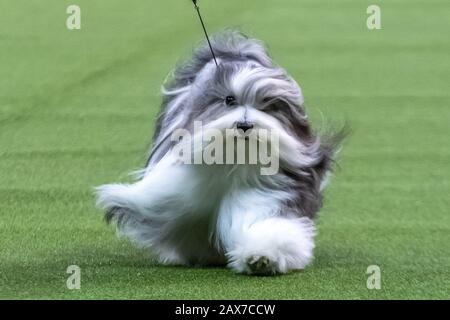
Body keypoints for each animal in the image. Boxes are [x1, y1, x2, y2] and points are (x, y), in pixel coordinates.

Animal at [94, 30, 342, 276]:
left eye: (267, 105)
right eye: (229, 100)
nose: (244, 125)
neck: (232, 161)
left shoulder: (268, 192)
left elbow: (263, 224)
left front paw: (262, 257)